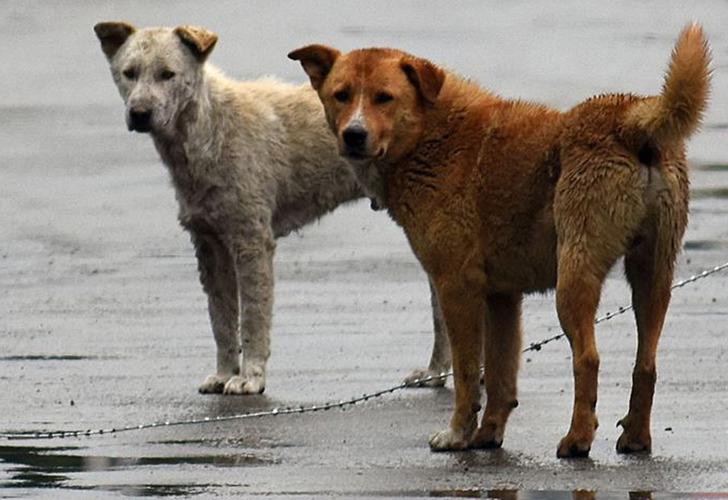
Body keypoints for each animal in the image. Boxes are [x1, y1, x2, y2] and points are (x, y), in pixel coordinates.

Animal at [94, 23, 446, 396]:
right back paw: (436, 373)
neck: (213, 127)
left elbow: (252, 318)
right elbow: (220, 320)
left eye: (167, 74)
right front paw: (223, 374)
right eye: (129, 73)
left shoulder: (252, 241)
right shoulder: (209, 244)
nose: (139, 113)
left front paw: (250, 377)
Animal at [290, 25, 712, 458]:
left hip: (574, 277)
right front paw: (488, 434)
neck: (431, 134)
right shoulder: (502, 297)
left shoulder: (456, 288)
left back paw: (577, 439)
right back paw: (635, 438)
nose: (353, 135)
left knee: (588, 359)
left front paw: (458, 435)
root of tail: (629, 121)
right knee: (646, 363)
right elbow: (499, 374)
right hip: (653, 275)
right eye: (341, 94)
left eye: (383, 97)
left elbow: (466, 371)